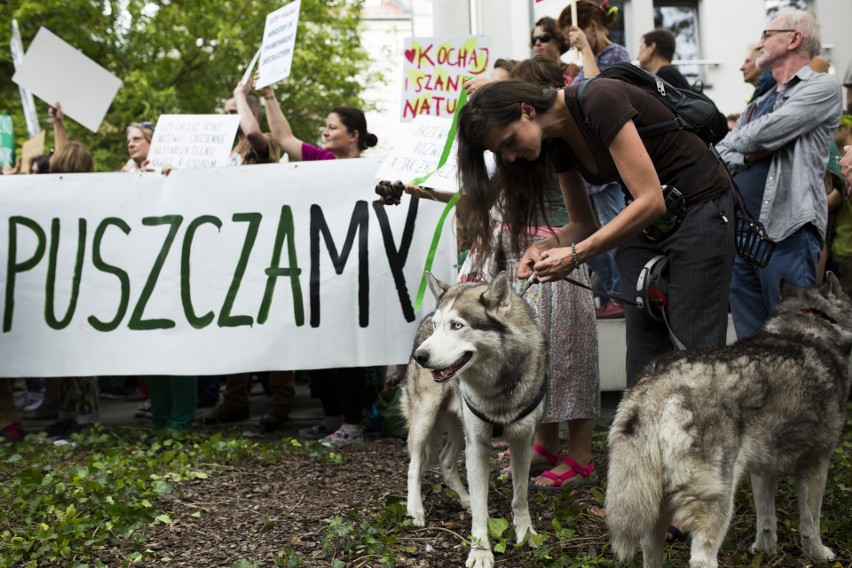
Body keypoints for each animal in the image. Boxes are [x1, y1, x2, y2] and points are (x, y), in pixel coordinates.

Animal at [404, 272, 548, 568]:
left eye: (457, 325)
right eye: (438, 326)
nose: (420, 356)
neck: (498, 387)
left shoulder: (522, 442)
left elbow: (520, 497)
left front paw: (526, 534)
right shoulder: (478, 446)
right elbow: (483, 510)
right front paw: (480, 551)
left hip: (459, 430)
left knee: (446, 461)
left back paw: (464, 498)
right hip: (427, 418)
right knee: (415, 465)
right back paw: (416, 510)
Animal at [604, 272, 852, 564]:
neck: (808, 326)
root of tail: (659, 384)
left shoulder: (762, 471)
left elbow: (766, 519)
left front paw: (765, 550)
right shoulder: (817, 463)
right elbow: (811, 522)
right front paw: (818, 554)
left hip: (656, 505)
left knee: (649, 546)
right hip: (717, 501)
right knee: (702, 557)